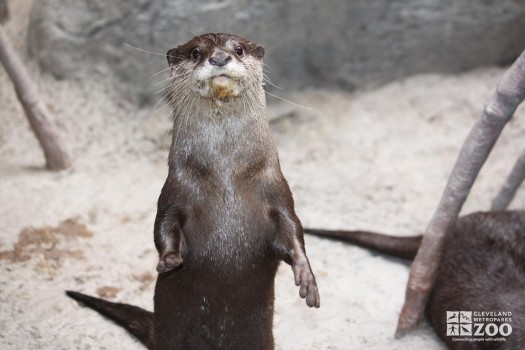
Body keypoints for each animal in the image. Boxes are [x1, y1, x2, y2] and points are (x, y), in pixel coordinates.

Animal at [65, 33, 320, 350]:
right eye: (196, 52)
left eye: (239, 49)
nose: (220, 57)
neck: (226, 176)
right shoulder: (176, 188)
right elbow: (163, 225)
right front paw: (169, 260)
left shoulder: (276, 189)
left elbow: (293, 231)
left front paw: (307, 278)